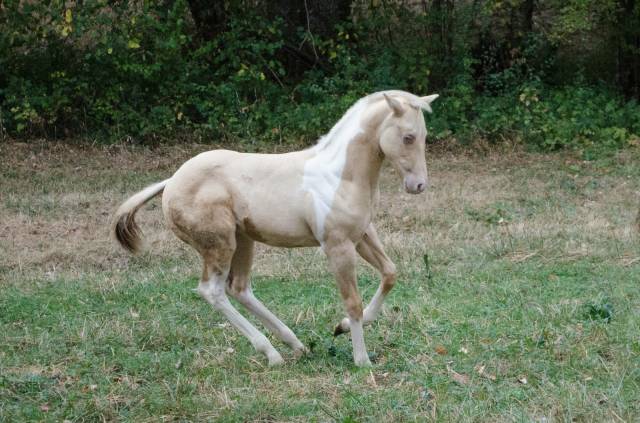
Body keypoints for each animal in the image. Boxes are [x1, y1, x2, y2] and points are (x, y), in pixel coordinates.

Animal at [112, 90, 438, 367]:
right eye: (408, 137)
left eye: (423, 136)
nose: (419, 185)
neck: (340, 176)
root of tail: (172, 181)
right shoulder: (338, 245)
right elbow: (353, 302)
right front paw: (362, 360)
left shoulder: (362, 235)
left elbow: (390, 274)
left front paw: (340, 328)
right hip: (219, 244)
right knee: (212, 291)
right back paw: (272, 353)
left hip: (243, 240)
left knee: (239, 288)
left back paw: (295, 344)